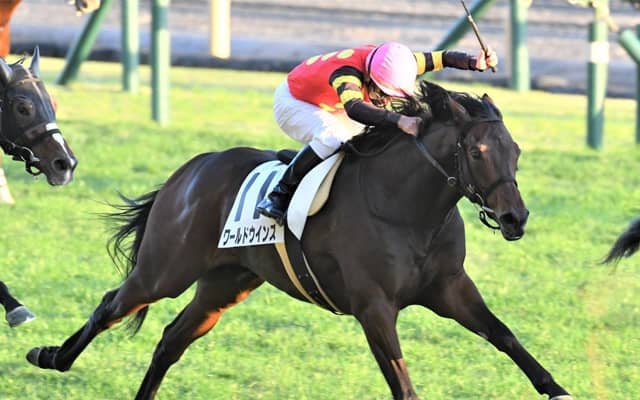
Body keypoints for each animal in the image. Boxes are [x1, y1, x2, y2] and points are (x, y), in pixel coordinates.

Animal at [27, 80, 571, 400]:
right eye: (478, 151)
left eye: (515, 150)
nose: (515, 217)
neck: (407, 209)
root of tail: (189, 170)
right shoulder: (374, 306)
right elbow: (402, 382)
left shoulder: (451, 289)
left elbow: (504, 335)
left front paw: (557, 388)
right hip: (166, 269)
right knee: (111, 306)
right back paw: (50, 356)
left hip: (225, 284)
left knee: (170, 340)